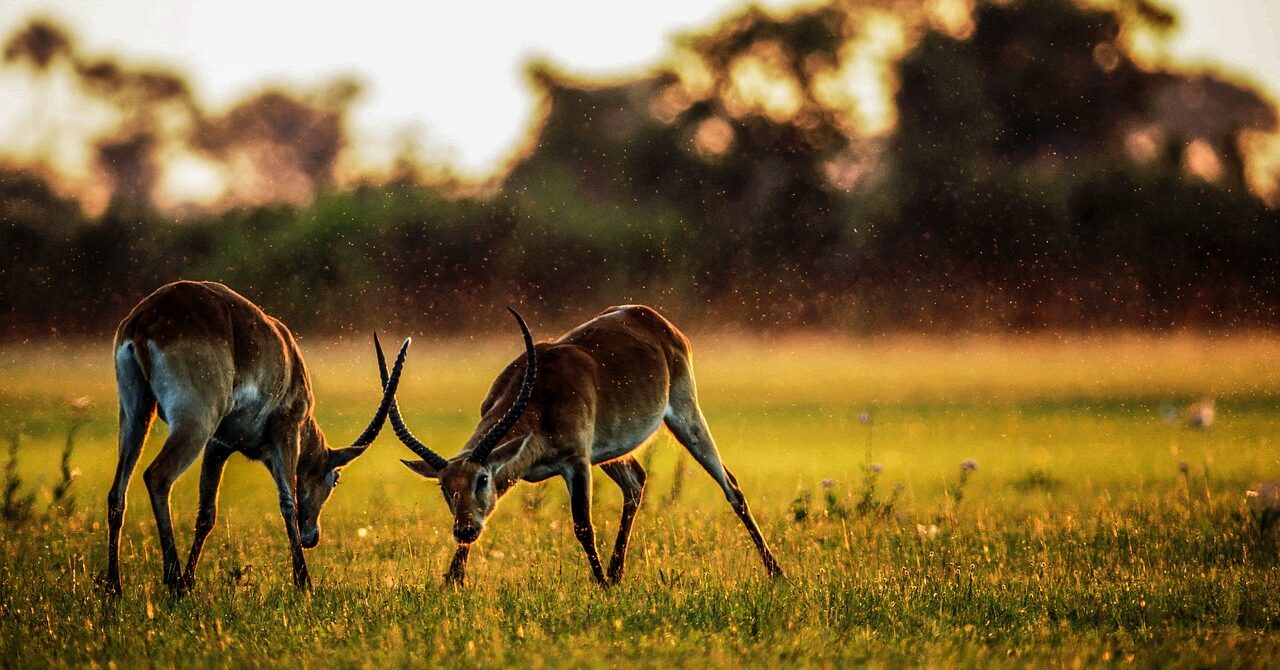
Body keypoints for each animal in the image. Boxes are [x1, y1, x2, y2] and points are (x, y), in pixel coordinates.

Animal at [110, 280, 412, 594]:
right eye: (335, 479)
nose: (312, 536)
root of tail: (146, 319)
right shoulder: (286, 430)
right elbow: (288, 502)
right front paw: (304, 582)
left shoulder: (218, 445)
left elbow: (207, 514)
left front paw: (191, 581)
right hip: (195, 423)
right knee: (157, 476)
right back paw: (173, 583)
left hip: (136, 414)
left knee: (117, 493)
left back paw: (115, 587)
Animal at [378, 304, 778, 586]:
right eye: (445, 487)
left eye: (482, 479)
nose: (463, 530)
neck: (540, 396)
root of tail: (652, 318)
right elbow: (486, 519)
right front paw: (451, 580)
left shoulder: (577, 461)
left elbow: (583, 526)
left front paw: (599, 584)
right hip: (612, 451)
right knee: (637, 481)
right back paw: (617, 575)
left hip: (684, 414)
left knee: (731, 486)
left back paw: (776, 571)